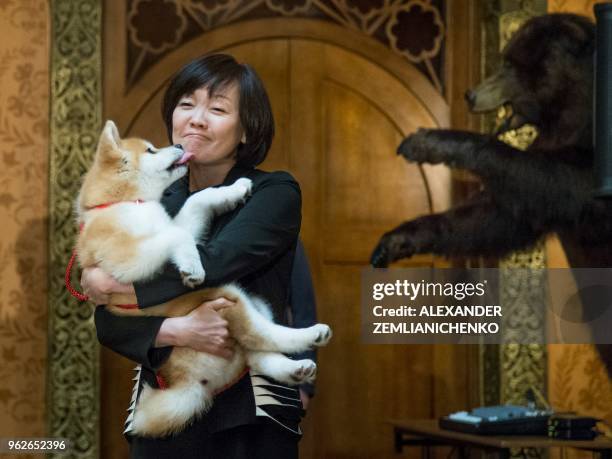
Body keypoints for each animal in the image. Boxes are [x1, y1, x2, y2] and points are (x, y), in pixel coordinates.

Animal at [77, 121, 334, 438]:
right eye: (151, 150)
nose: (179, 146)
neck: (122, 203)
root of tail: (191, 383)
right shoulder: (126, 257)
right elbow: (177, 235)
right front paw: (192, 268)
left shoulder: (175, 223)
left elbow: (195, 202)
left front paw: (235, 189)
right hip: (229, 295)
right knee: (261, 335)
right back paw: (313, 335)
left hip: (253, 303)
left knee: (255, 351)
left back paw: (295, 369)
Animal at [368, 13, 612, 374]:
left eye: (510, 64)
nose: (470, 94)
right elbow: (495, 217)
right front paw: (395, 240)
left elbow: (557, 179)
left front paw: (427, 142)